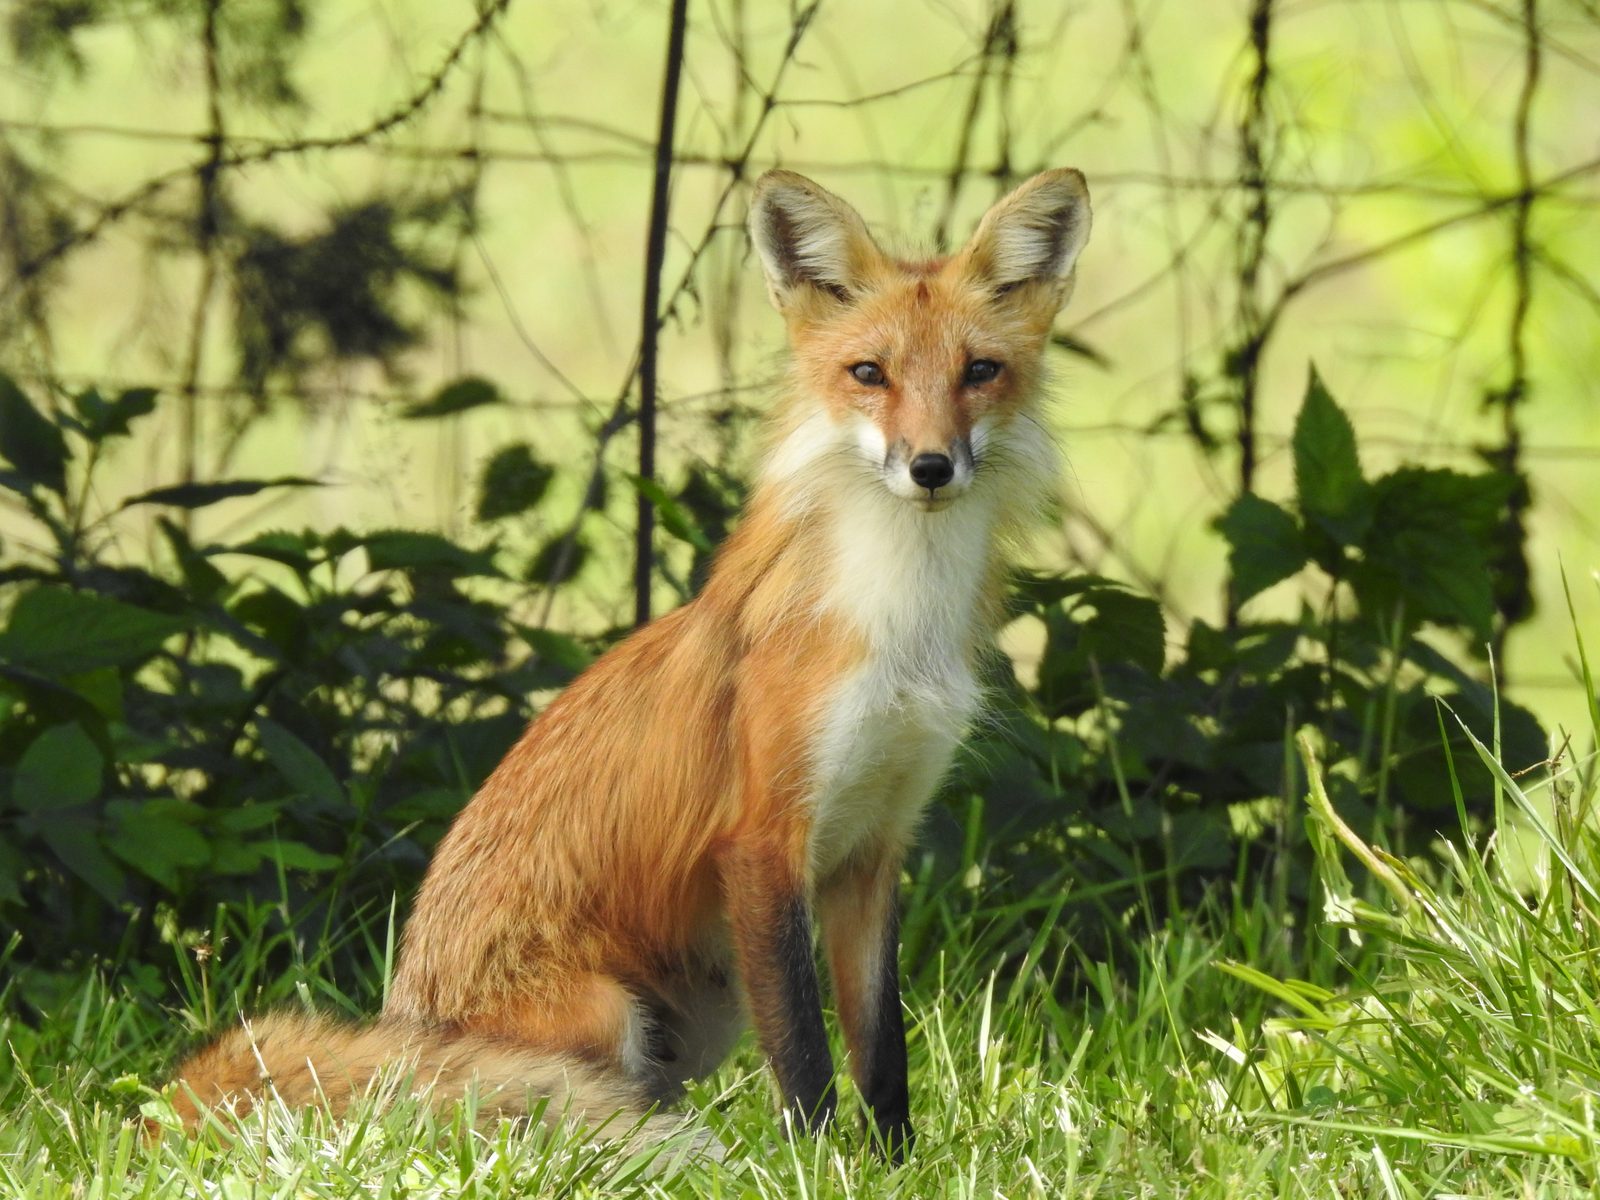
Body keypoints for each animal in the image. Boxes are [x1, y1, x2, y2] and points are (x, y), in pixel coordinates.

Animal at [165, 166, 1092, 1157]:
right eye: (869, 374)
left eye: (979, 372)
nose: (930, 467)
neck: (897, 629)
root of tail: (405, 1023)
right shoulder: (764, 838)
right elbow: (806, 1051)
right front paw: (814, 1162)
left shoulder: (875, 845)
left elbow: (882, 1049)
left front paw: (892, 1162)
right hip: (615, 1010)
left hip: (707, 1006)